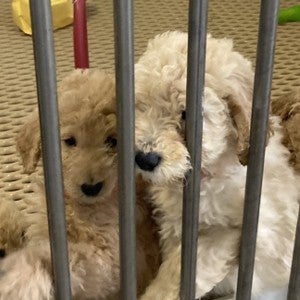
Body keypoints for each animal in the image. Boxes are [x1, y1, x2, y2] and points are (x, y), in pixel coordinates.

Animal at [0, 68, 161, 300]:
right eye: (70, 141)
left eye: (112, 141)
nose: (91, 188)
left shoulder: (111, 256)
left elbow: (67, 259)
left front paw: (20, 277)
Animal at [134, 31, 300, 298]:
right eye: (141, 106)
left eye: (186, 114)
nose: (144, 159)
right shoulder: (173, 227)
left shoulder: (238, 232)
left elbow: (195, 263)